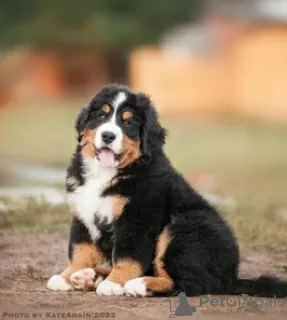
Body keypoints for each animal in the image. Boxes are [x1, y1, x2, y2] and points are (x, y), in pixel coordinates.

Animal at [47, 83, 287, 298]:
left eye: (128, 122)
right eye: (101, 116)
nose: (108, 136)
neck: (105, 173)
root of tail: (231, 277)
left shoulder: (136, 219)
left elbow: (127, 256)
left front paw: (115, 283)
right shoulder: (83, 215)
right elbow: (80, 251)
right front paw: (67, 276)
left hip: (184, 226)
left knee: (190, 284)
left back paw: (139, 284)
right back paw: (88, 276)